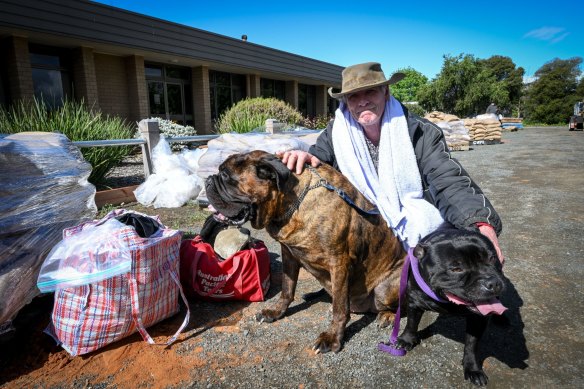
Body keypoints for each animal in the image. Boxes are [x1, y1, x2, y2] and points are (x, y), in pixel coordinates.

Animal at [206, 149, 406, 352]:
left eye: (225, 176)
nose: (209, 180)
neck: (292, 204)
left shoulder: (338, 263)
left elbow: (340, 309)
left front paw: (333, 337)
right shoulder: (288, 255)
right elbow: (287, 289)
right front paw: (276, 312)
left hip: (385, 288)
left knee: (393, 306)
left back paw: (386, 315)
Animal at [394, 227, 508, 384]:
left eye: (492, 258)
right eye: (456, 269)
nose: (492, 282)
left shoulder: (478, 319)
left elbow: (472, 344)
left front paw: (472, 368)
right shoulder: (414, 302)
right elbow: (411, 323)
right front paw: (406, 340)